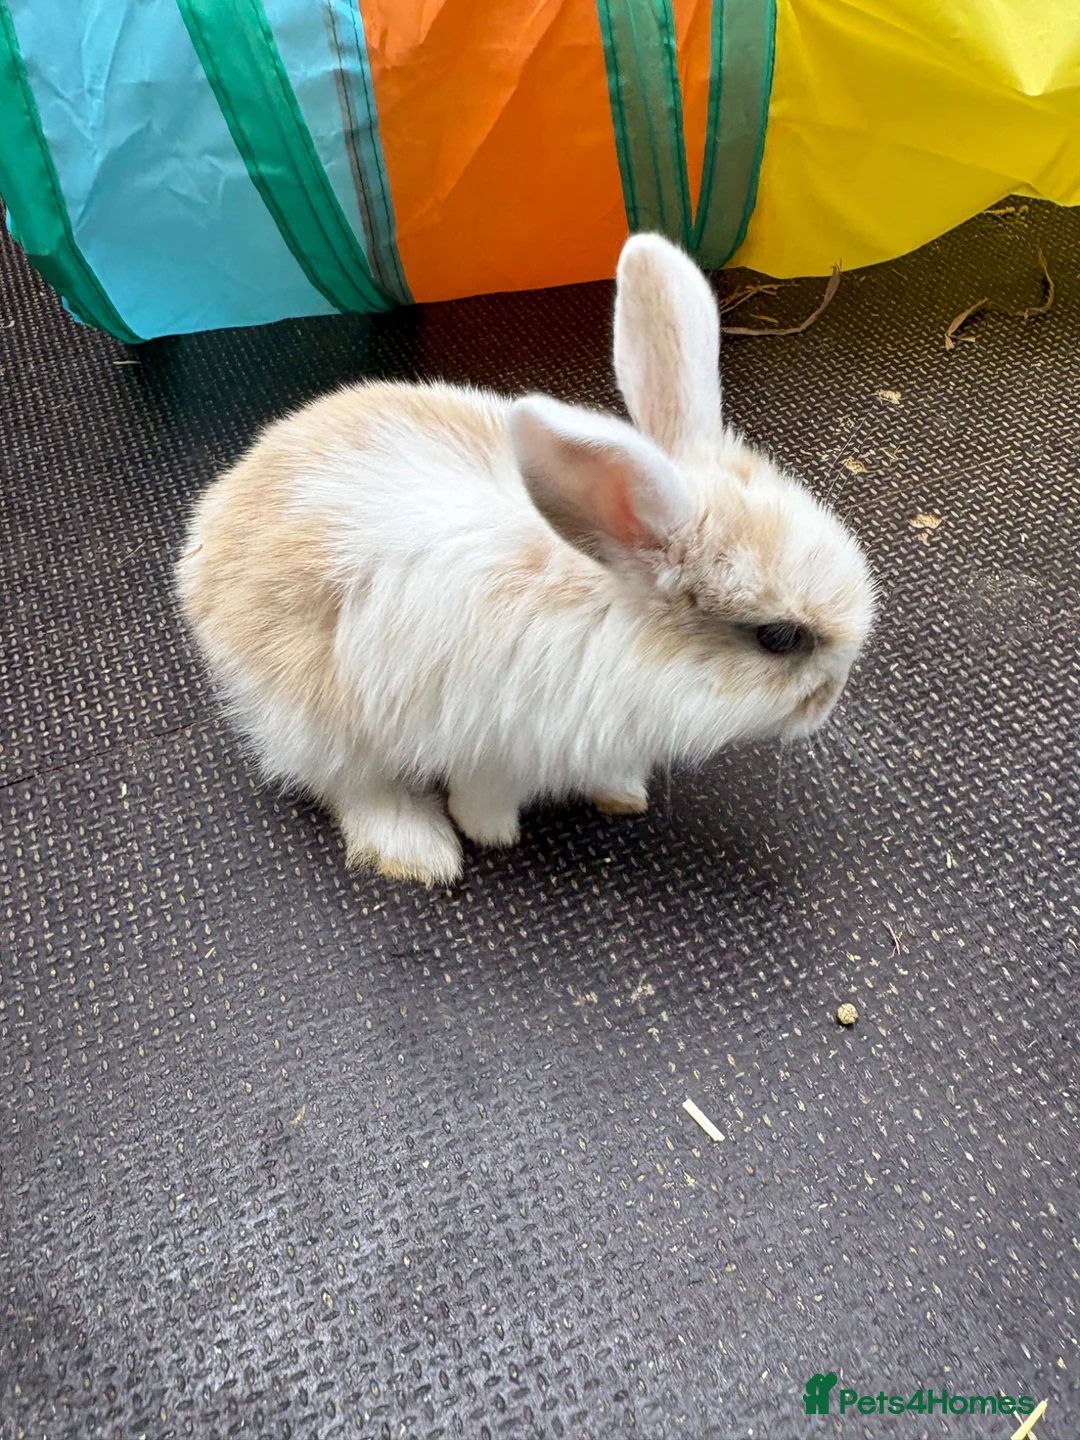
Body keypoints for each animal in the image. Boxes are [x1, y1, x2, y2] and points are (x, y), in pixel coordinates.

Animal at [176, 233, 875, 886]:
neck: (615, 613)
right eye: (779, 638)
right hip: (320, 717)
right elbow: (483, 798)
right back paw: (420, 852)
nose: (830, 700)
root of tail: (204, 538)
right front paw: (494, 836)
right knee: (351, 784)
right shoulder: (498, 751)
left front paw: (624, 795)